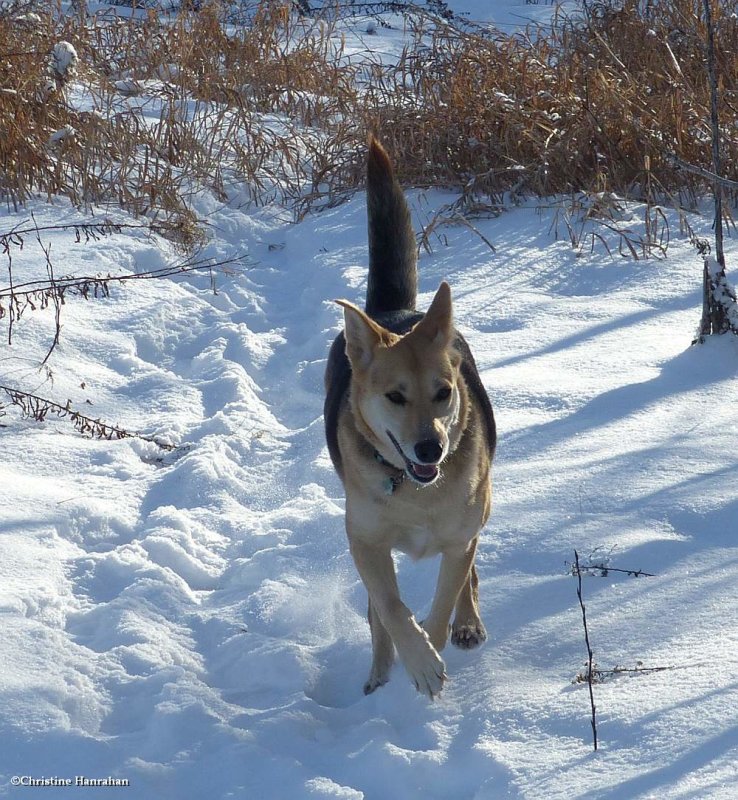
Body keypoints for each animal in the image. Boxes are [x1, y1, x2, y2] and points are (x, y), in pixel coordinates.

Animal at [322, 138, 494, 700]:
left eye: (443, 393)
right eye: (395, 397)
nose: (430, 449)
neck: (414, 489)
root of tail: (396, 313)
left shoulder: (460, 536)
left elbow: (442, 601)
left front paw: (433, 653)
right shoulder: (365, 541)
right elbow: (391, 608)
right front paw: (414, 664)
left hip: (479, 514)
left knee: (468, 579)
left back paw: (468, 624)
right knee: (379, 614)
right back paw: (379, 675)